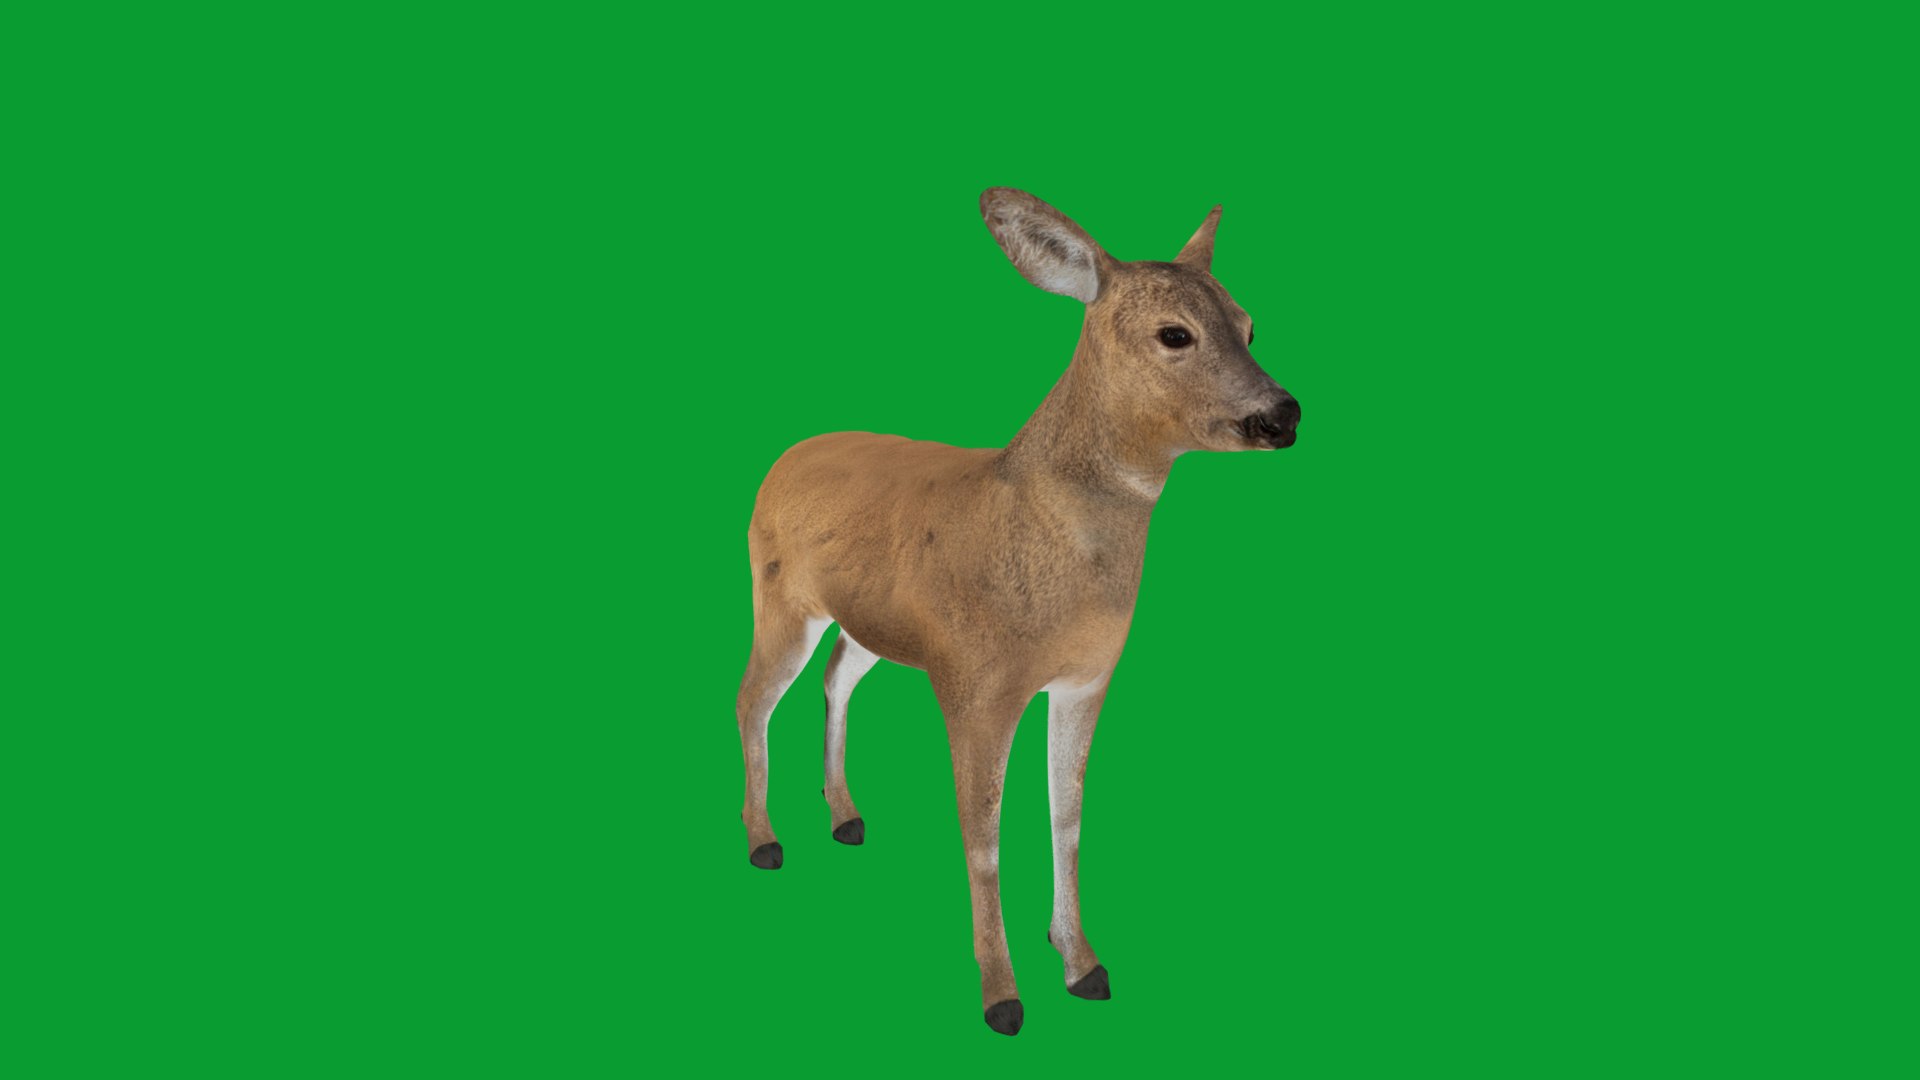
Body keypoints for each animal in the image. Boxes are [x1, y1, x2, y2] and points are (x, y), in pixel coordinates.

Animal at [736, 189, 1301, 1036]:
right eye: (1176, 333)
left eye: (1250, 324)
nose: (1283, 414)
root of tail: (783, 457)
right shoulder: (975, 679)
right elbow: (982, 834)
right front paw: (1002, 996)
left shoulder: (1086, 678)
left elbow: (1067, 819)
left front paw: (1084, 963)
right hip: (778, 594)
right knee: (752, 699)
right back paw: (765, 841)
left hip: (870, 623)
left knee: (837, 678)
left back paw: (846, 817)